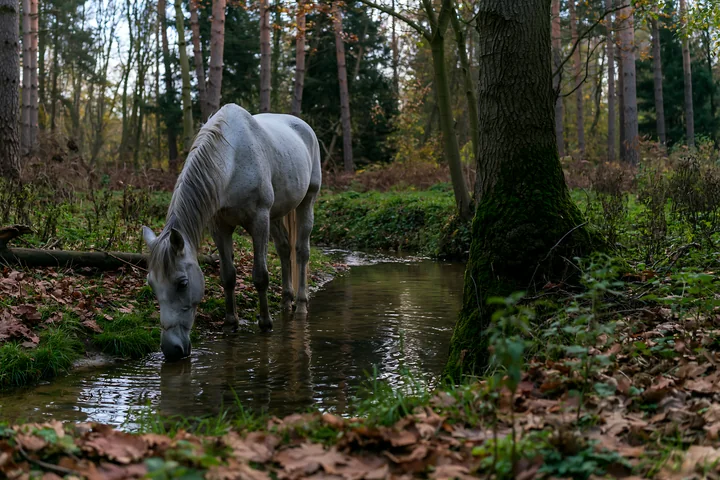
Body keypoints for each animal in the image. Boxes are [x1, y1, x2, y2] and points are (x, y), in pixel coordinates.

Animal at [141, 104, 322, 362]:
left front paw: (265, 323)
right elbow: (228, 276)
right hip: (277, 213)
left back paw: (301, 304)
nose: (171, 350)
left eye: (182, 284)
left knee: (301, 252)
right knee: (285, 250)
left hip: (307, 201)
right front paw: (230, 323)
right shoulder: (220, 227)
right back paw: (286, 302)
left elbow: (260, 275)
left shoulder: (259, 220)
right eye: (152, 284)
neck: (231, 161)